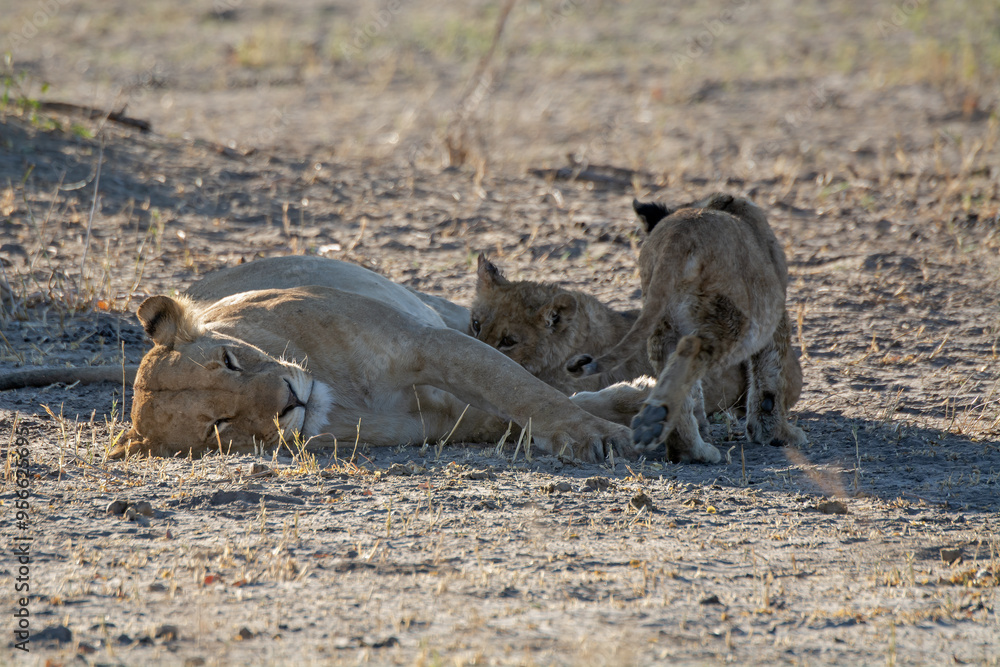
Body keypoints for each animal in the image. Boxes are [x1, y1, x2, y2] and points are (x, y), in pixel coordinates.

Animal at [566, 193, 807, 463]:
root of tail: (678, 234)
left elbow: (697, 391)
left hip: (663, 322)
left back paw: (686, 447)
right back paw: (662, 426)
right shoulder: (775, 311)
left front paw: (703, 425)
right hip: (737, 321)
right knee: (693, 347)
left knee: (672, 368)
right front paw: (778, 433)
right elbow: (770, 374)